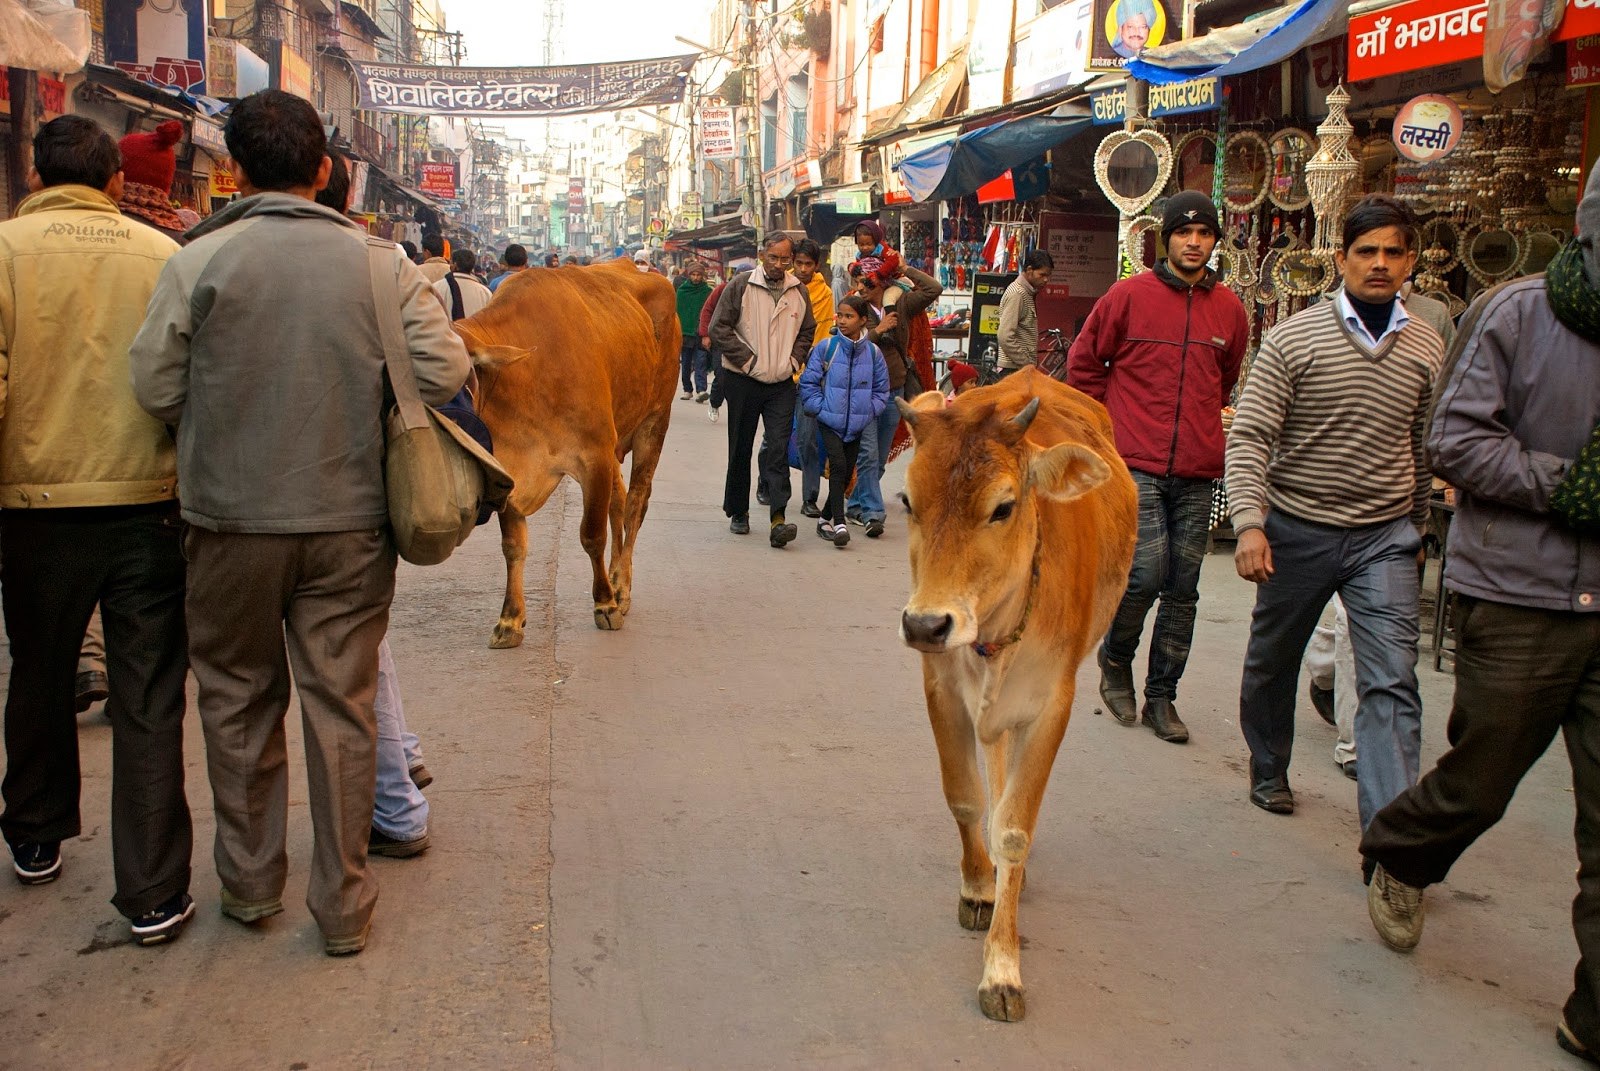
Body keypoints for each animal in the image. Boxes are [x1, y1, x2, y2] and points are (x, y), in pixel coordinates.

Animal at [454, 259, 678, 640]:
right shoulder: (509, 469)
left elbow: (591, 535)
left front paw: (605, 605)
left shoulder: (594, 456)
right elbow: (513, 546)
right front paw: (510, 619)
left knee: (635, 503)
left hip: (654, 421)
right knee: (619, 502)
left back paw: (621, 588)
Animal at [902, 368, 1139, 1018]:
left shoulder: (1053, 704)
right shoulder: (940, 687)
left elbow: (1014, 828)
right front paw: (978, 885)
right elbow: (965, 798)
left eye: (1003, 507)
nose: (925, 624)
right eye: (908, 502)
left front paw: (1002, 967)